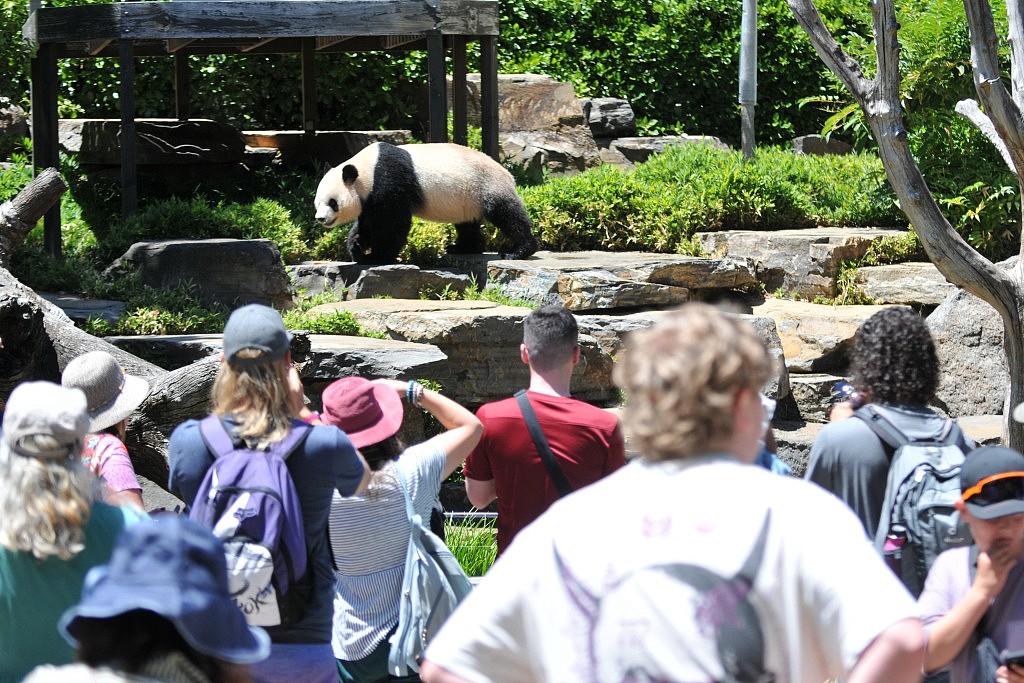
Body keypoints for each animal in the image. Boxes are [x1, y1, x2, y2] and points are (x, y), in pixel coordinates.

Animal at [311, 142, 540, 264]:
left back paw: (518, 251)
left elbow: (393, 223)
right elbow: (366, 223)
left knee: (507, 214)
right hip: (468, 197)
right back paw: (463, 248)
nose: (320, 218)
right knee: (467, 224)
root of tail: (508, 173)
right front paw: (356, 248)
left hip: (487, 185)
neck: (367, 169)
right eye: (317, 202)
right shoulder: (369, 197)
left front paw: (378, 256)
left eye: (332, 202)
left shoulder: (389, 180)